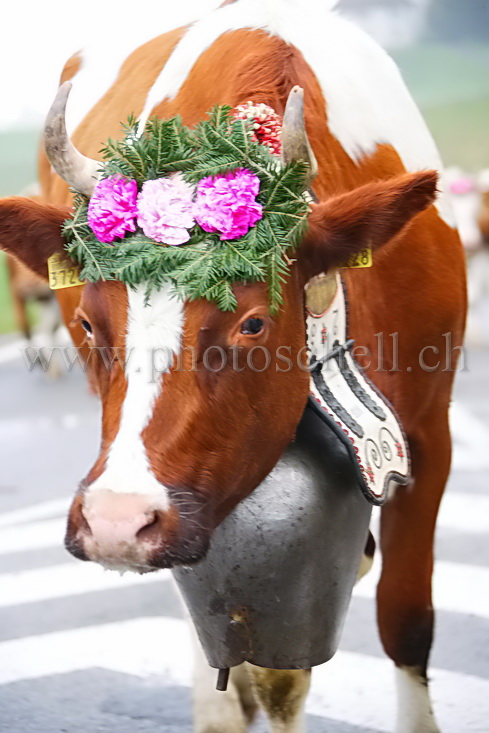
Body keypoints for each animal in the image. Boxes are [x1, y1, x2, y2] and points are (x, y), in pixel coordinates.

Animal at [0, 1, 466, 732]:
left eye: (251, 322)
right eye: (89, 323)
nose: (115, 523)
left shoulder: (429, 429)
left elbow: (406, 616)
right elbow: (270, 664)